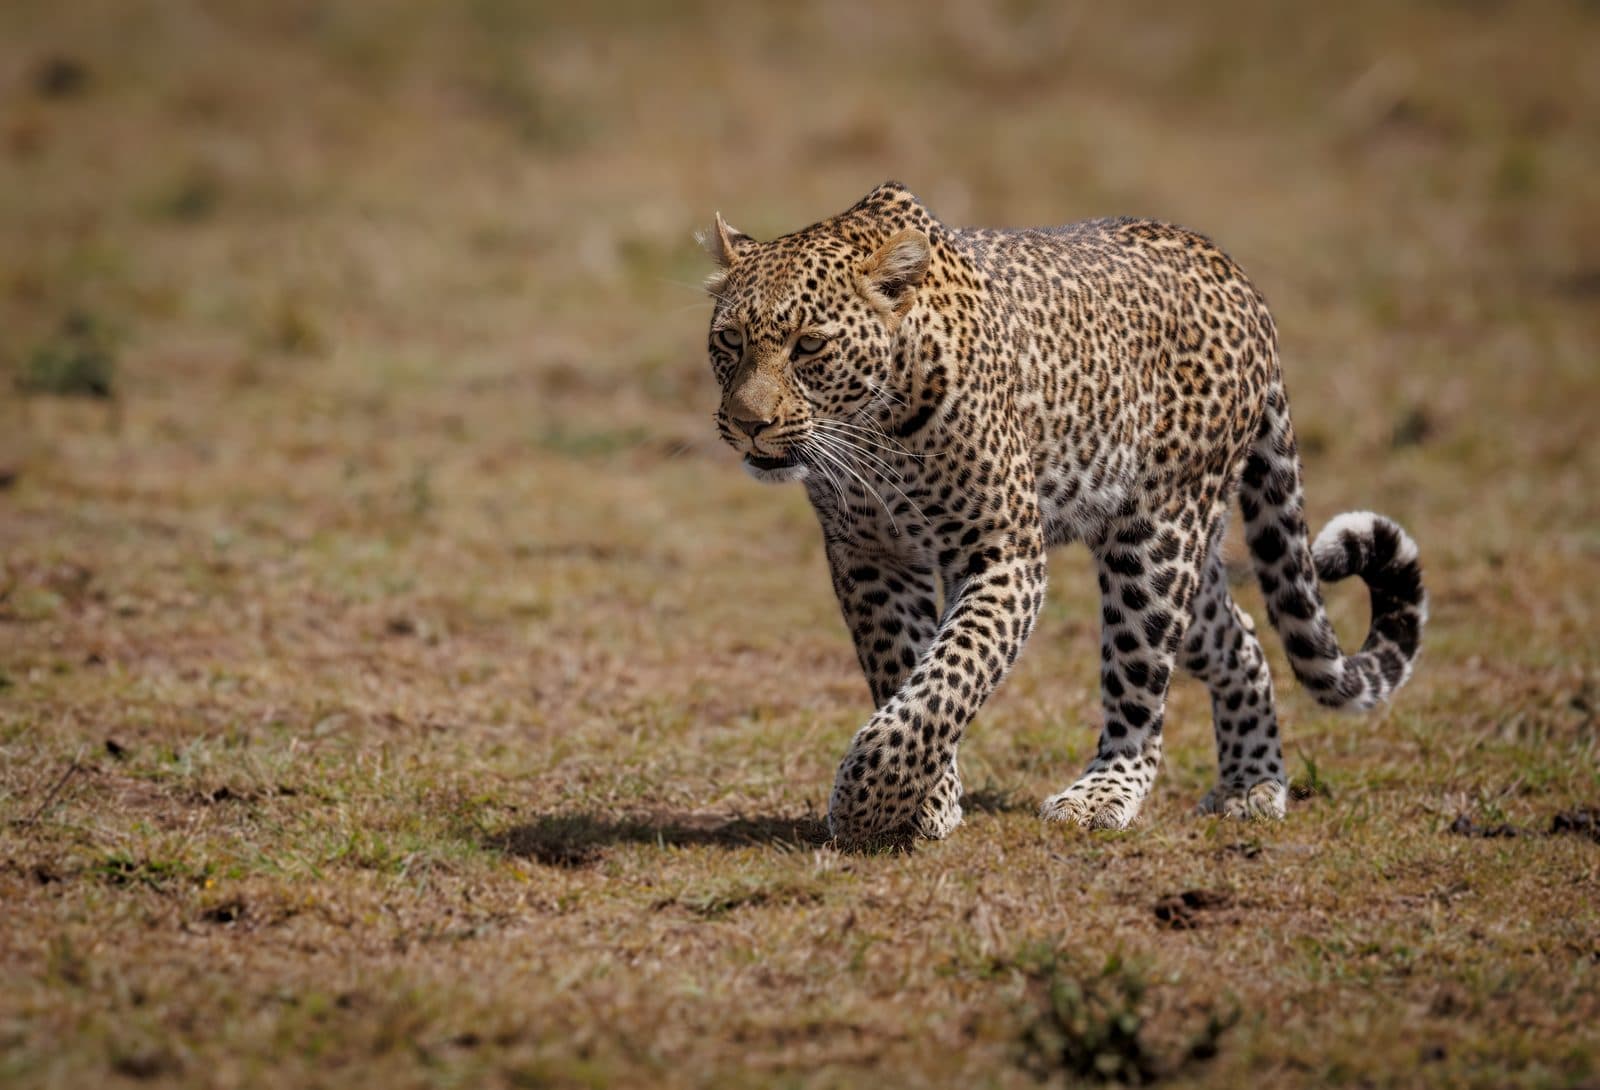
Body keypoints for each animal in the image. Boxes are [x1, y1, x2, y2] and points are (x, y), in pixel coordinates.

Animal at [700, 181, 1426, 843]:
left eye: (809, 347)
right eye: (729, 341)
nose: (748, 424)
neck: (875, 428)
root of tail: (1235, 272)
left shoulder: (1003, 552)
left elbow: (950, 676)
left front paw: (865, 799)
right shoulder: (870, 556)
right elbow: (903, 669)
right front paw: (925, 800)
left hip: (1155, 542)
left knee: (1140, 696)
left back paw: (1102, 795)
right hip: (1185, 561)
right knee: (1241, 636)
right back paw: (1253, 783)